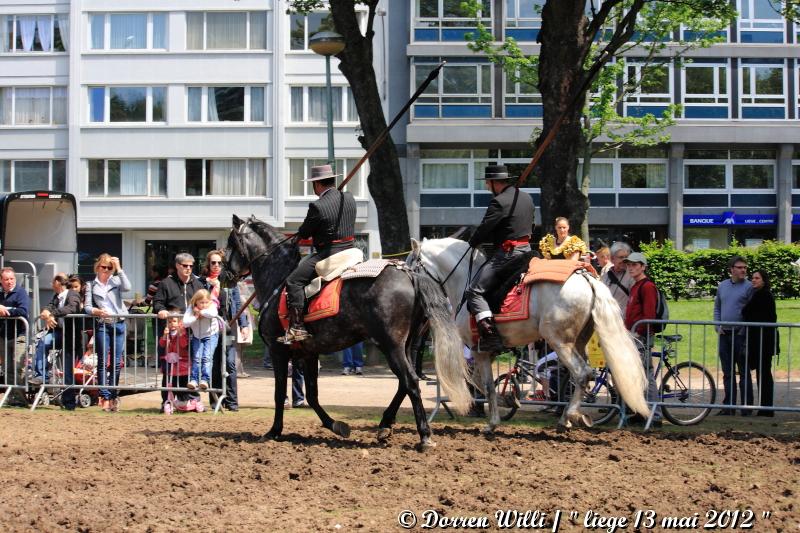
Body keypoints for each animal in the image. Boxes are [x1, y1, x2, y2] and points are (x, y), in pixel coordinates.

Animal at [406, 237, 648, 432]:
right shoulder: (487, 351)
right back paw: (577, 415)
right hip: (578, 341)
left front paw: (495, 418)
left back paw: (566, 418)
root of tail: (585, 277)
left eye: (410, 263)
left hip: (559, 341)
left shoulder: (479, 350)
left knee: (581, 374)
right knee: (584, 376)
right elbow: (484, 382)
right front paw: (507, 402)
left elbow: (483, 384)